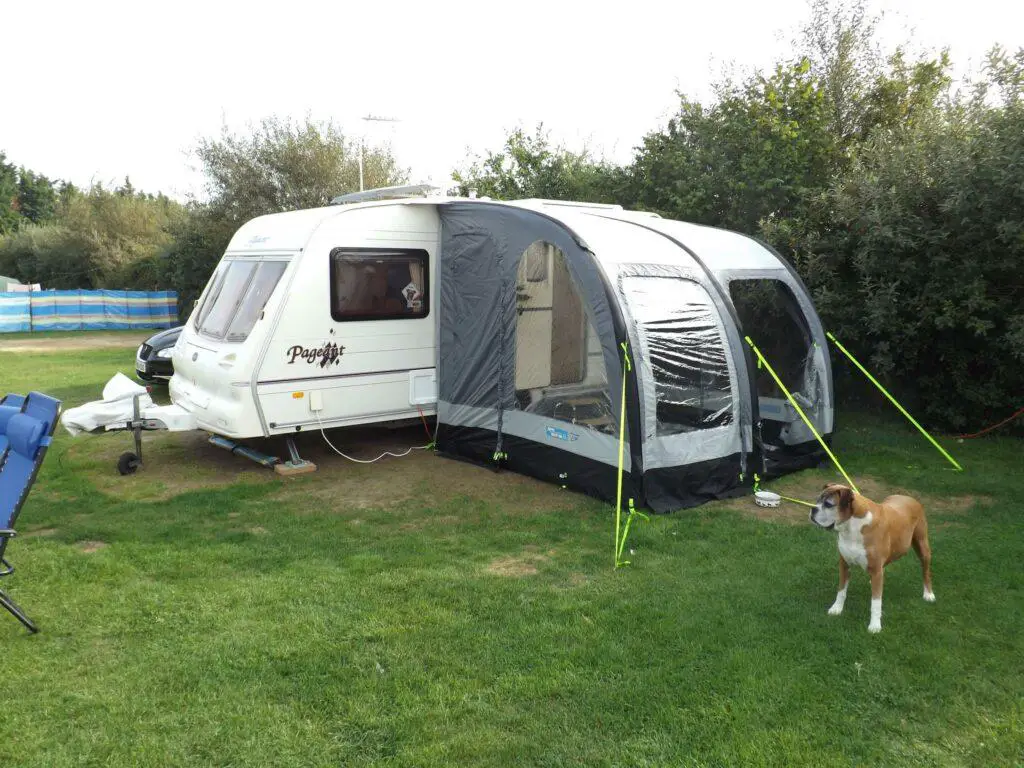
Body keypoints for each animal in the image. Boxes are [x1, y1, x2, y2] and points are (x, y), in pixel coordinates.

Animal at [811, 483, 933, 634]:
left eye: (828, 504)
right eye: (817, 500)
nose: (812, 509)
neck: (852, 527)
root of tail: (908, 497)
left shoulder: (875, 569)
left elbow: (875, 602)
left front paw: (874, 625)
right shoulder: (844, 565)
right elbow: (841, 591)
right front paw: (837, 608)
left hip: (923, 547)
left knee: (926, 571)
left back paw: (928, 594)